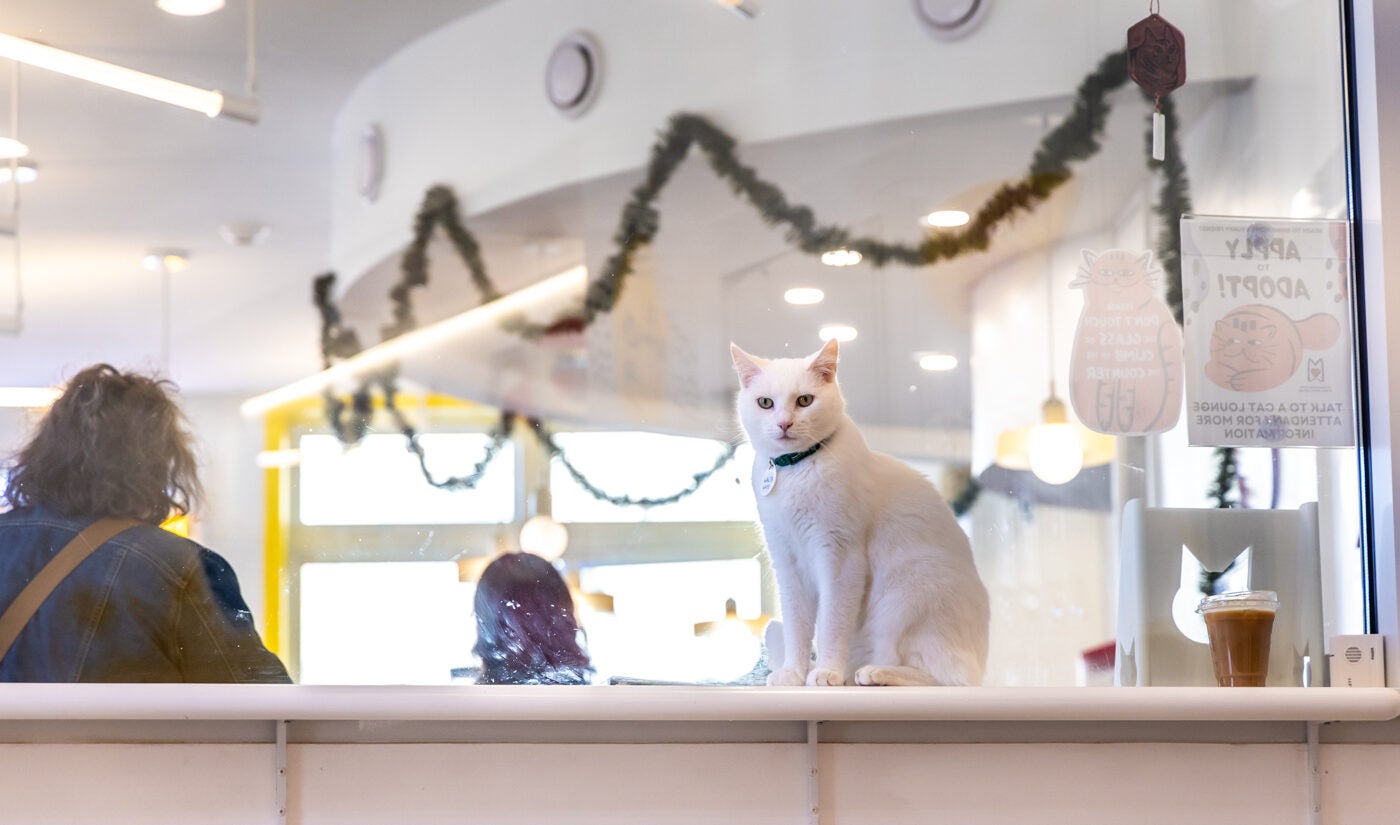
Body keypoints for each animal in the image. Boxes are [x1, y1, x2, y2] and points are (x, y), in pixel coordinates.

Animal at [733, 337, 985, 686]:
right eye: (766, 403)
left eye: (805, 400)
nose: (784, 423)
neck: (796, 471)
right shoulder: (787, 561)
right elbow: (797, 628)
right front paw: (793, 674)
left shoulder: (840, 558)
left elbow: (831, 624)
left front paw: (826, 673)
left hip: (906, 595)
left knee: (945, 678)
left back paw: (874, 673)